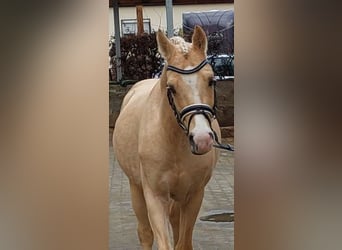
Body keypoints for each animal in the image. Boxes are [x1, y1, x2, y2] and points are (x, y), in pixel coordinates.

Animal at [114, 26, 222, 249]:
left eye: (211, 81)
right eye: (171, 88)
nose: (202, 139)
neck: (174, 143)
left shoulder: (194, 195)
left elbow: (183, 242)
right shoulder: (155, 197)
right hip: (136, 188)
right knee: (145, 233)